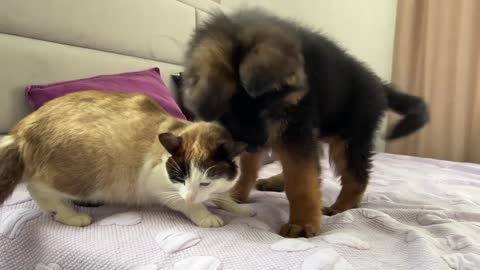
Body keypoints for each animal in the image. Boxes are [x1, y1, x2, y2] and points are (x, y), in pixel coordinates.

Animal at [0, 90, 255, 228]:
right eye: (180, 178)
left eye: (205, 182)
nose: (191, 195)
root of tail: (21, 129)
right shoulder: (157, 186)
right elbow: (190, 205)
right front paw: (206, 216)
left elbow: (225, 198)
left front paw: (242, 209)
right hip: (92, 172)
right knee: (37, 189)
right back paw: (73, 216)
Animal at [182, 8, 430, 237]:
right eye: (228, 114)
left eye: (270, 109)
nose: (256, 145)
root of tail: (379, 84)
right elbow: (248, 168)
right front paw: (236, 195)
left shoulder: (293, 130)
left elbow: (301, 181)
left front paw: (302, 223)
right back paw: (276, 181)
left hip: (349, 138)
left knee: (356, 175)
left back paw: (343, 205)